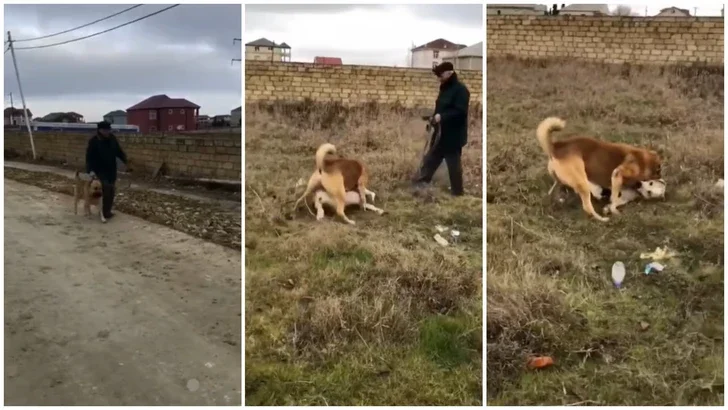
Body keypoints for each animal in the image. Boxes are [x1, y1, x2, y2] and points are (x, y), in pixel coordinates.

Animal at [536, 117, 664, 221]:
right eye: (658, 172)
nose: (661, 178)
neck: (643, 160)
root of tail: (556, 147)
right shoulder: (618, 174)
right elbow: (614, 198)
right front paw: (614, 210)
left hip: (560, 179)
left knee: (554, 189)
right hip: (582, 182)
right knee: (587, 207)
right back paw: (601, 219)